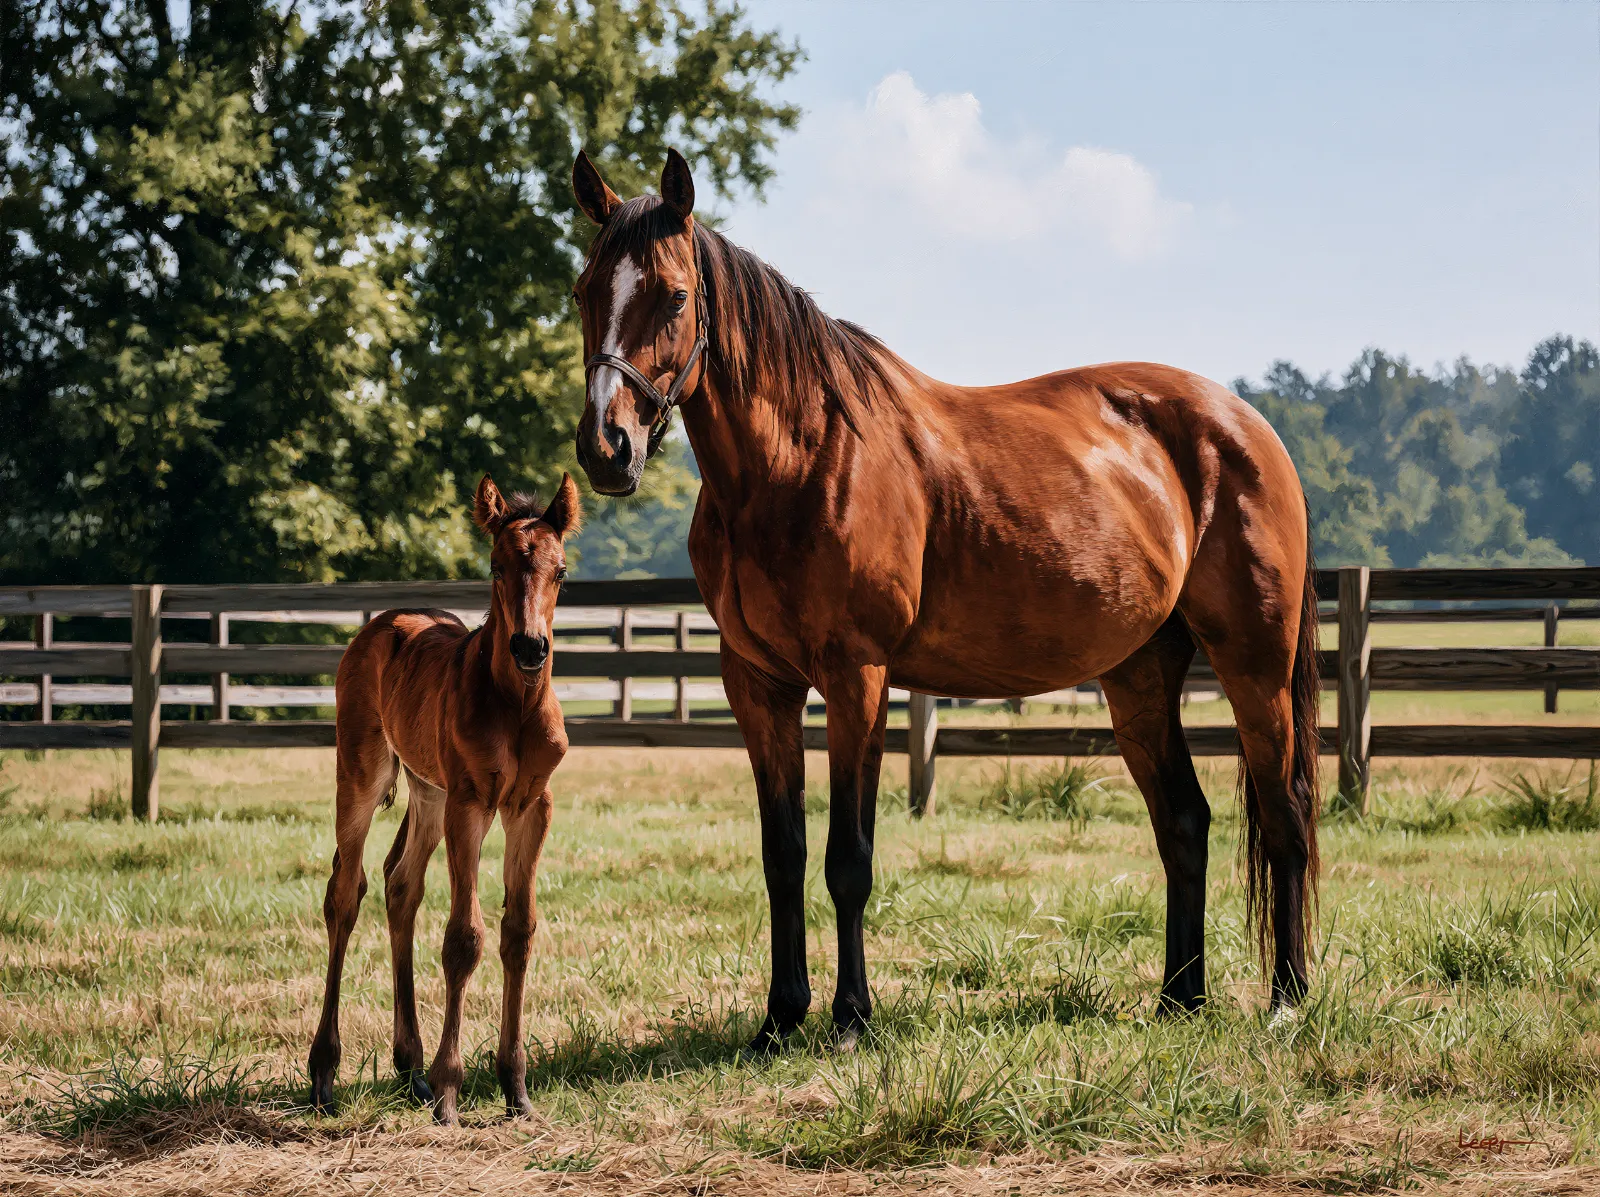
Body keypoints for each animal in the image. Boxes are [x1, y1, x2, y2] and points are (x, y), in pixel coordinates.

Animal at [308, 473, 580, 1124]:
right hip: (363, 773)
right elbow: (464, 938)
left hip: (428, 792)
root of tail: (382, 622)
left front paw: (516, 1089)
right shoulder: (470, 803)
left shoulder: (531, 807)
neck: (516, 706)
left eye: (560, 570)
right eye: (497, 565)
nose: (530, 648)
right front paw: (452, 1091)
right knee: (344, 894)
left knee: (399, 886)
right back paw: (326, 1071)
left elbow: (518, 932)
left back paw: (410, 1068)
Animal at [569, 149, 1320, 1049]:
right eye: (584, 290)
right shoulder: (759, 686)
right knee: (1185, 824)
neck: (798, 460)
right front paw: (779, 1018)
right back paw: (1180, 998)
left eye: (676, 294)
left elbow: (848, 858)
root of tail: (1247, 424)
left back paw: (1287, 998)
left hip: (1255, 663)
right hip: (1140, 674)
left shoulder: (857, 678)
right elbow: (783, 856)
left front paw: (851, 1018)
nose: (607, 448)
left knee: (1283, 816)